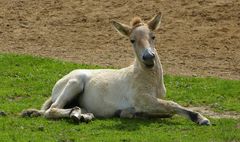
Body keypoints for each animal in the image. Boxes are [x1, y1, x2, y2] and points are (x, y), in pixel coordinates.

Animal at [22, 12, 210, 125]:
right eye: (132, 40)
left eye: (153, 36)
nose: (149, 58)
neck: (147, 79)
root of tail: (57, 86)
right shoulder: (143, 99)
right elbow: (171, 105)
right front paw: (201, 118)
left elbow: (168, 110)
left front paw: (128, 113)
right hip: (74, 84)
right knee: (52, 110)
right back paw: (75, 114)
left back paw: (82, 115)